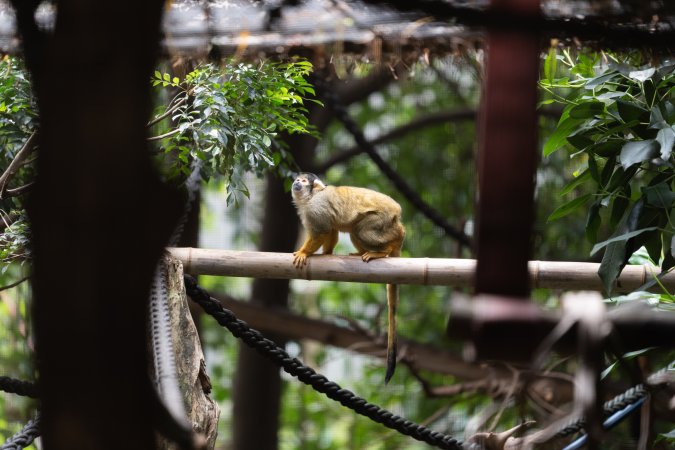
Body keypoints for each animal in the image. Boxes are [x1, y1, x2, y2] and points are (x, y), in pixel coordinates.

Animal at [290, 172, 405, 383]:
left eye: (303, 181)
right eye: (298, 179)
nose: (296, 182)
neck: (311, 197)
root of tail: (398, 222)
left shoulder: (316, 207)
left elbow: (322, 230)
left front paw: (303, 252)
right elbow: (331, 230)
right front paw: (327, 253)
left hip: (383, 220)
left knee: (362, 230)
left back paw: (383, 250)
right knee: (354, 231)